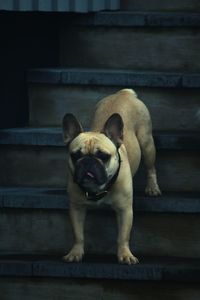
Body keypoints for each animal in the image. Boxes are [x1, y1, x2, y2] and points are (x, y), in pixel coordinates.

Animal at [62, 89, 161, 264]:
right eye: (75, 156)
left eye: (103, 156)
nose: (88, 162)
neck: (98, 189)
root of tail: (124, 93)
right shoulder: (76, 208)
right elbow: (78, 234)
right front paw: (75, 252)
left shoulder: (125, 210)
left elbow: (123, 236)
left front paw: (125, 255)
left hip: (147, 143)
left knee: (151, 167)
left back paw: (152, 188)